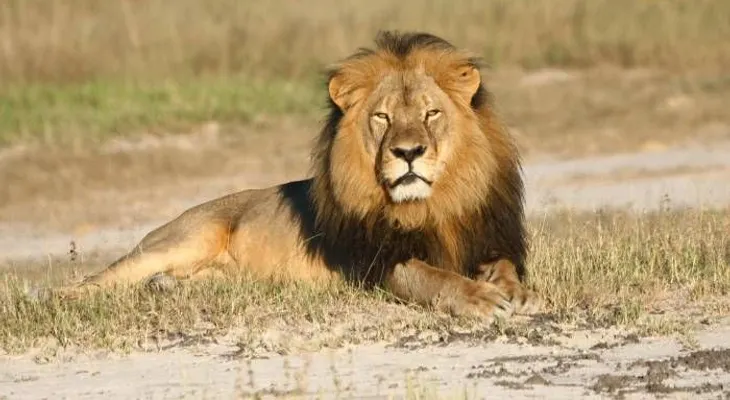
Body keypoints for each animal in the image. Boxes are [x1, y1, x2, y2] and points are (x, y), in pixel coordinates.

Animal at [56, 31, 541, 321]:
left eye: (431, 113)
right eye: (383, 117)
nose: (408, 153)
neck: (431, 205)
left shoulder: (488, 238)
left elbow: (503, 266)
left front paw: (513, 290)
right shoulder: (376, 263)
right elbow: (431, 277)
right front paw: (480, 299)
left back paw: (164, 288)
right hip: (180, 239)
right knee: (95, 280)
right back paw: (66, 300)